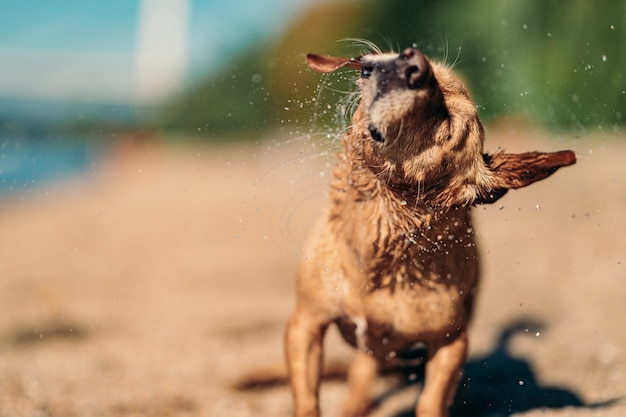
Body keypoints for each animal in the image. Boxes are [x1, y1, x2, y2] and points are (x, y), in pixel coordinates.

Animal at [284, 46, 576, 416]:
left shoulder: (450, 342)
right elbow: (307, 397)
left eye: (446, 120)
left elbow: (431, 400)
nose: (411, 61)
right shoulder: (306, 322)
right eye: (435, 74)